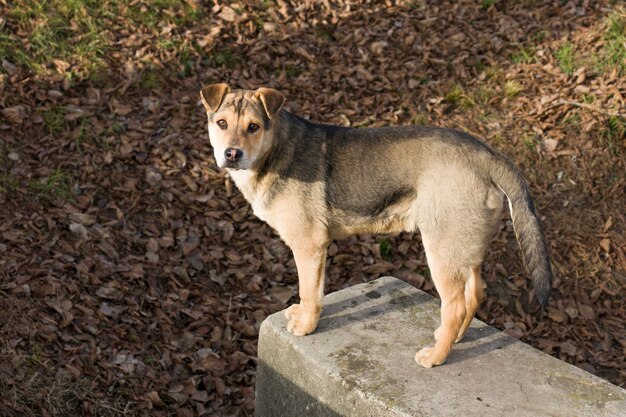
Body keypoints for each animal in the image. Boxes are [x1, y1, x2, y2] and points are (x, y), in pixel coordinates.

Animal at [200, 83, 552, 366]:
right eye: (222, 123)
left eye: (254, 126)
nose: (232, 153)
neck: (275, 150)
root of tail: (486, 155)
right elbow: (313, 293)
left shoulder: (309, 245)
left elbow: (309, 291)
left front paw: (305, 326)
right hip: (462, 248)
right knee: (474, 295)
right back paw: (450, 340)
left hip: (440, 251)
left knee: (454, 305)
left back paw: (436, 356)